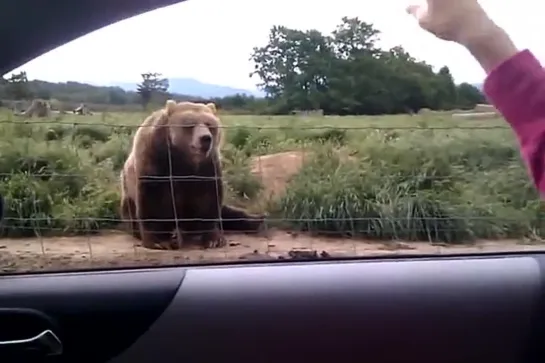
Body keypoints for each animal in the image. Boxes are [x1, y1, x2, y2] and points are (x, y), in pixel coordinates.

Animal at [120, 101, 264, 252]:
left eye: (209, 124)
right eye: (190, 124)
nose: (206, 138)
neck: (184, 159)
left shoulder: (207, 167)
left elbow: (209, 200)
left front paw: (214, 239)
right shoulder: (155, 161)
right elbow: (153, 201)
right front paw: (160, 240)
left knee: (228, 212)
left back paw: (256, 220)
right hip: (127, 201)